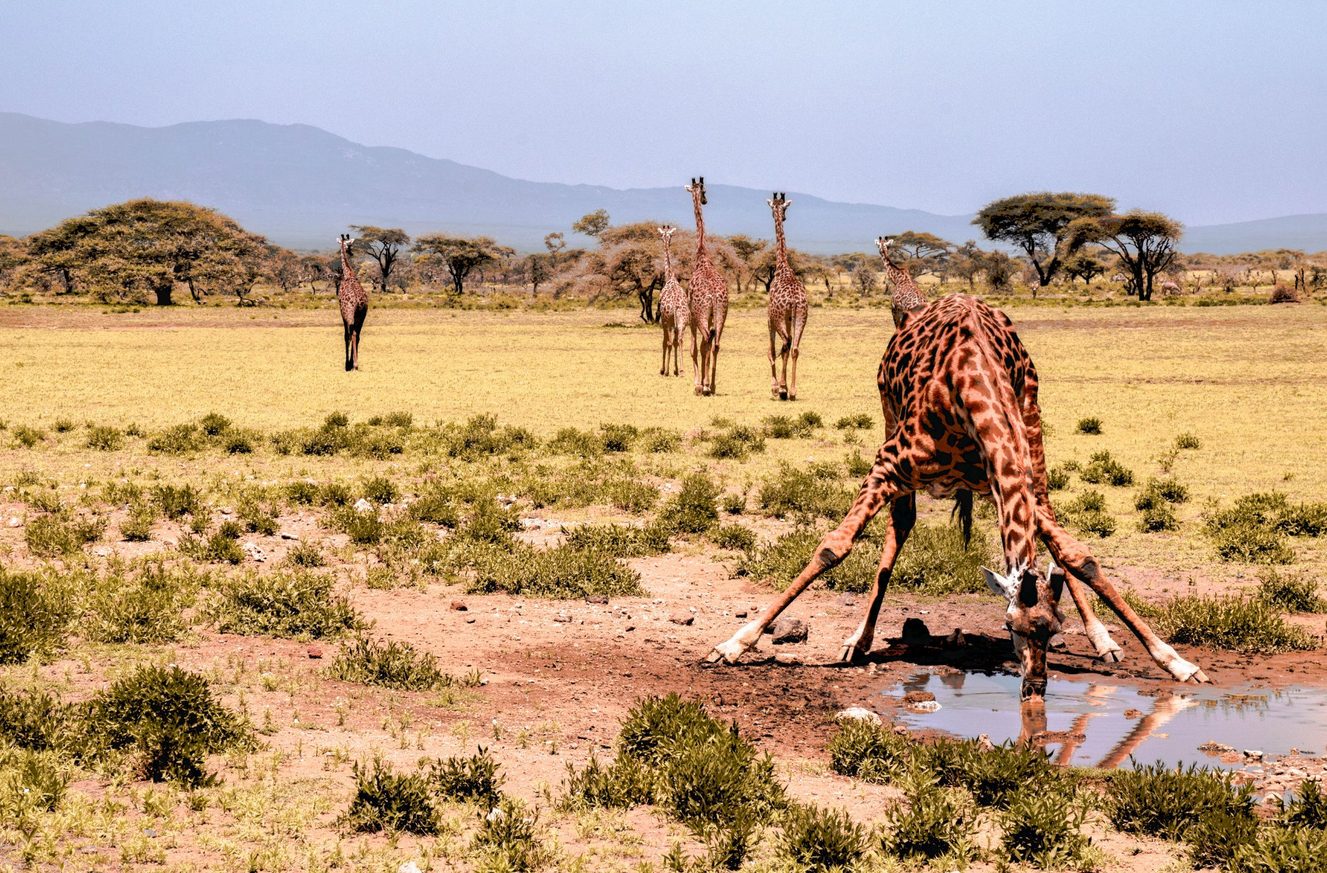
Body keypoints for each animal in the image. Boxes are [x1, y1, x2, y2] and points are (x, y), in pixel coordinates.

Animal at [711, 290, 1210, 700]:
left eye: (1054, 630)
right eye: (1009, 627)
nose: (1035, 688)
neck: (969, 388)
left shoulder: (1011, 476)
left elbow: (1078, 557)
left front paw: (1177, 662)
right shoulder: (887, 464)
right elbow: (834, 546)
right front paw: (734, 644)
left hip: (1033, 437)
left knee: (1052, 540)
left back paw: (1104, 639)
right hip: (889, 418)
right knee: (901, 525)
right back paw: (859, 639)